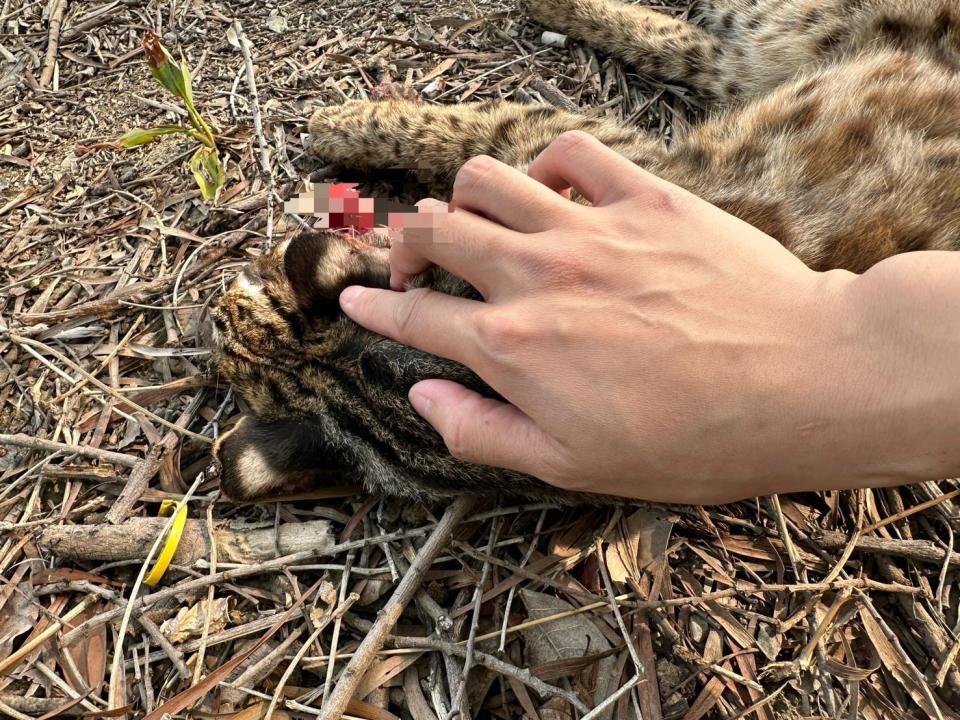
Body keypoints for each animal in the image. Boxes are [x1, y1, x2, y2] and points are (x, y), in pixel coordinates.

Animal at [210, 0, 960, 504]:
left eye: (249, 282)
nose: (206, 311)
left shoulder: (594, 158)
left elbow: (495, 126)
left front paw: (350, 122)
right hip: (760, 53)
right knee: (701, 49)